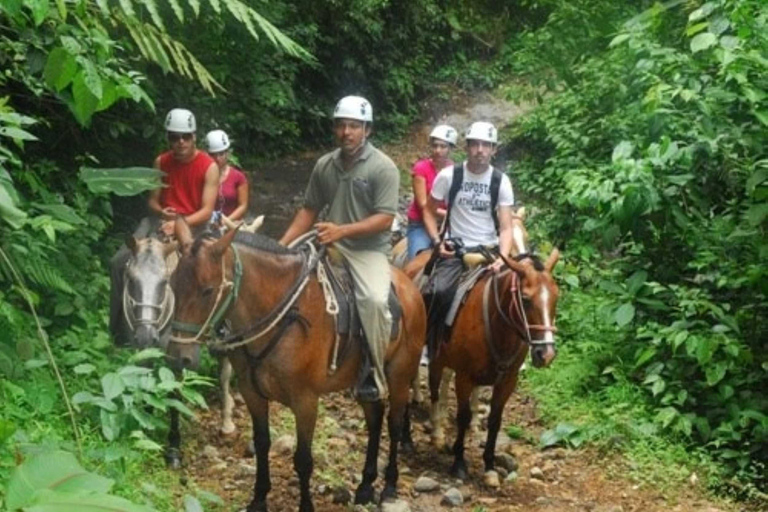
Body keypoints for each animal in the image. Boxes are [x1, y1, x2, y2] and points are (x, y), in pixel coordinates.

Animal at [169, 224, 428, 512]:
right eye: (172, 285)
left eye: (207, 290)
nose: (179, 357)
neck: (281, 310)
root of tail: (410, 286)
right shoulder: (251, 392)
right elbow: (262, 443)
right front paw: (259, 498)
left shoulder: (305, 400)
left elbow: (303, 459)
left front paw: (305, 505)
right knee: (374, 419)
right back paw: (365, 485)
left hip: (400, 375)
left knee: (394, 424)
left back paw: (390, 486)